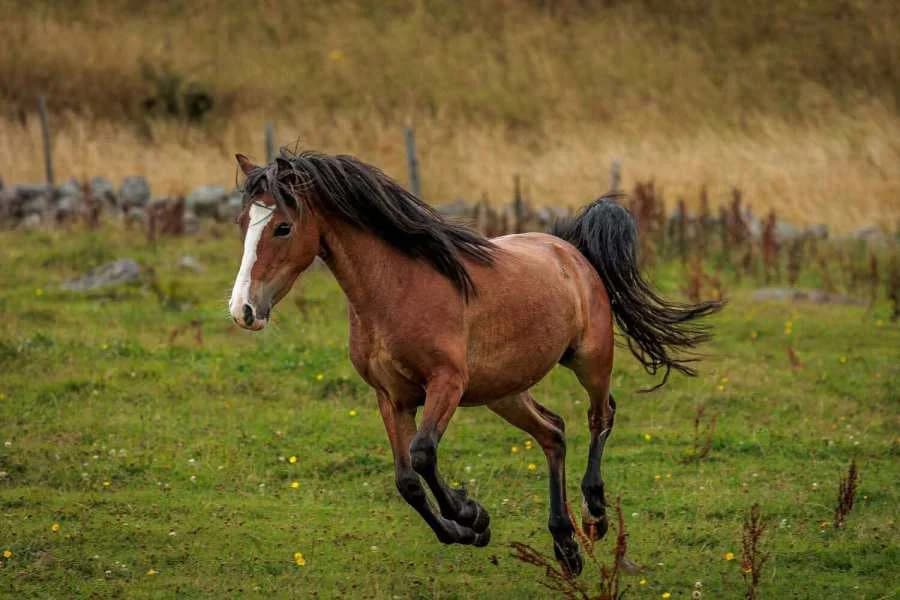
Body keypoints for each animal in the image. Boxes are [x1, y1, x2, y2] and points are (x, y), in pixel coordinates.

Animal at [227, 150, 721, 575]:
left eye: (283, 227)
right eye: (243, 222)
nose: (243, 310)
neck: (397, 288)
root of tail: (570, 251)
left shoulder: (447, 383)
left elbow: (423, 455)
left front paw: (471, 514)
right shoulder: (390, 396)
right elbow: (406, 481)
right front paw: (469, 530)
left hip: (590, 360)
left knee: (601, 416)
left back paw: (595, 516)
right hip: (504, 392)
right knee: (554, 432)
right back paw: (565, 545)